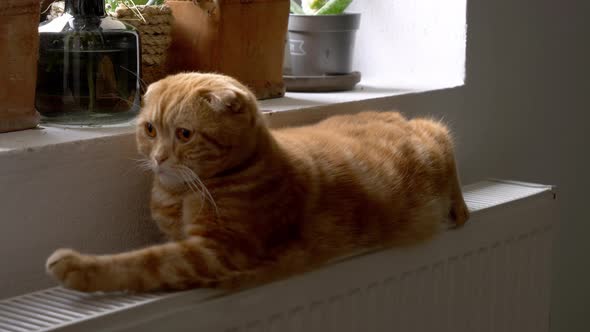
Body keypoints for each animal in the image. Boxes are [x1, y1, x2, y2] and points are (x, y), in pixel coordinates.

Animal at [45, 73, 472, 294]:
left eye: (184, 134)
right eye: (150, 130)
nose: (159, 158)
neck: (181, 195)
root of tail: (395, 115)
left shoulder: (217, 251)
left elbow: (145, 262)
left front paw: (78, 267)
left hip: (433, 139)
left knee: (445, 138)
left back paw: (461, 209)